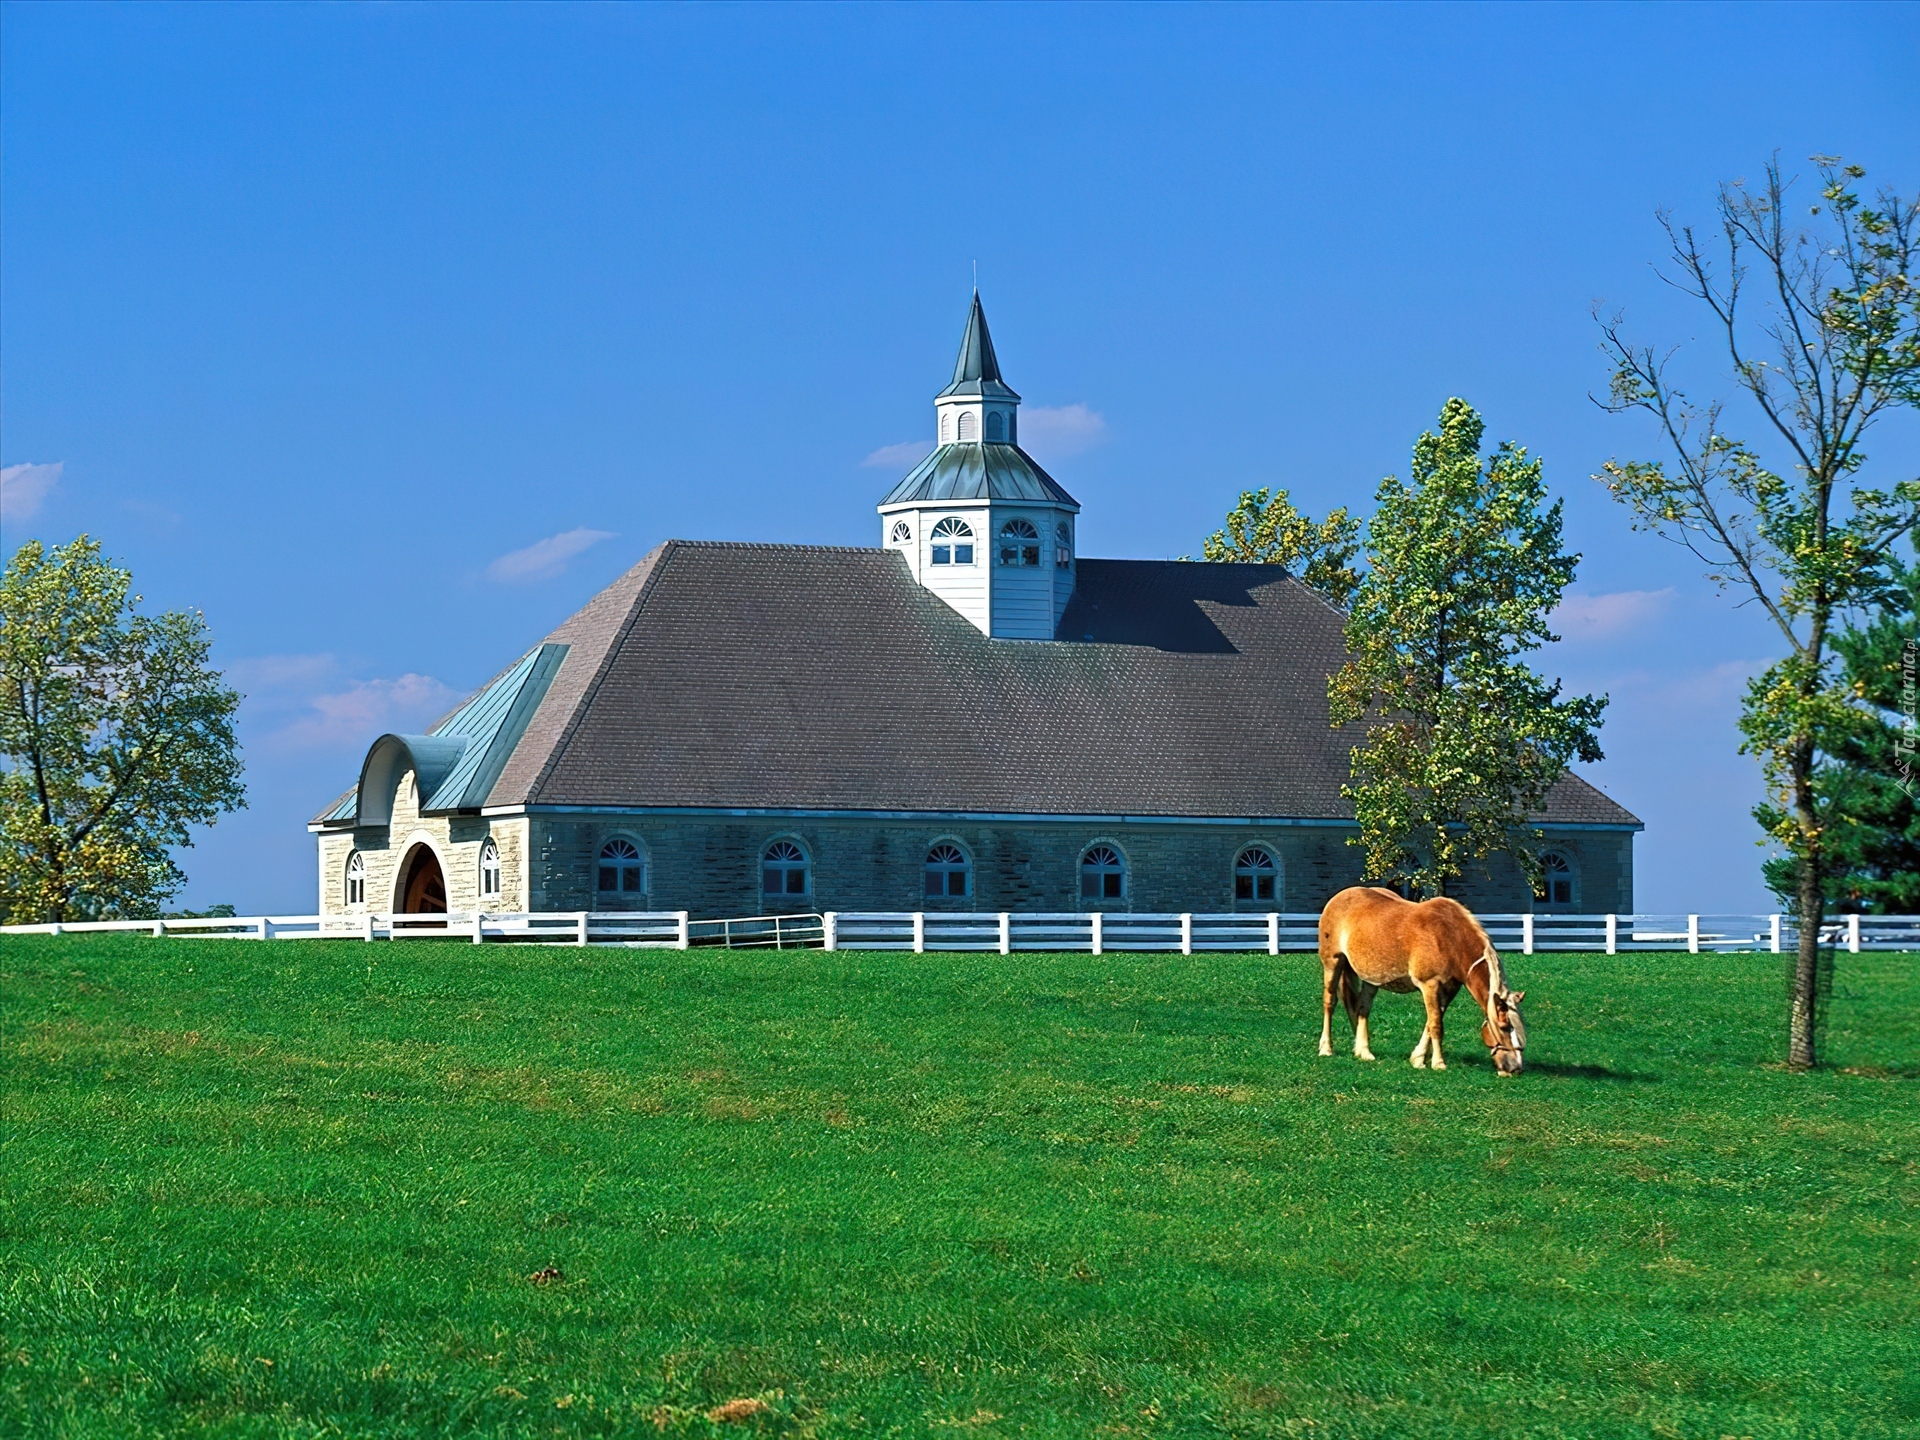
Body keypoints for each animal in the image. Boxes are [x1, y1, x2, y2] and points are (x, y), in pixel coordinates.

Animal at [1313, 887, 1520, 1075]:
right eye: (1505, 1027)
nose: (1515, 1068)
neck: (1450, 937)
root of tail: (1339, 897)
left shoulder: (1448, 990)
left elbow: (1432, 1021)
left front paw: (1418, 1059)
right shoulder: (1430, 985)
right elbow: (1436, 1025)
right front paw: (1438, 1063)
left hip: (1371, 978)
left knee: (1362, 1008)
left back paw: (1363, 1051)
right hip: (1333, 963)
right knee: (1330, 1002)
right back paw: (1326, 1049)